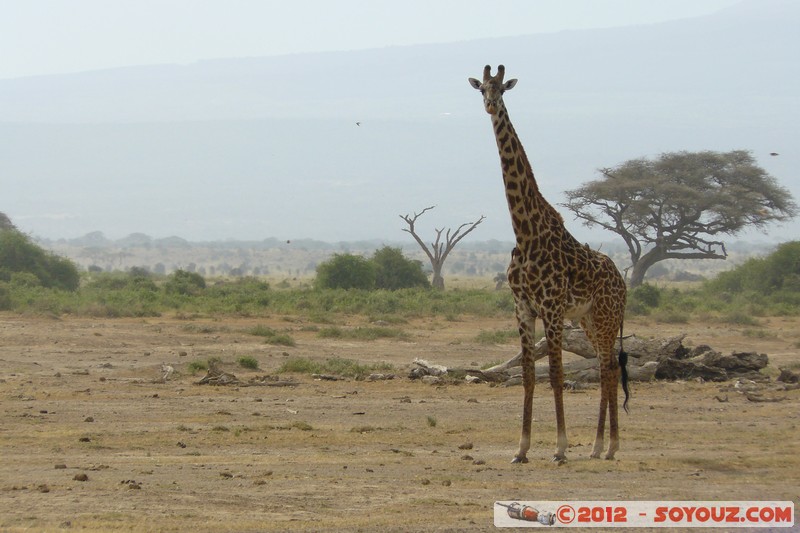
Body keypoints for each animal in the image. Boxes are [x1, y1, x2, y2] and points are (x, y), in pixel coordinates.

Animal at [468, 64, 632, 460]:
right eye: (480, 88)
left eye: (502, 89)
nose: (490, 105)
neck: (526, 234)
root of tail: (623, 282)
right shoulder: (523, 307)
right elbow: (528, 374)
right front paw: (521, 449)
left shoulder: (553, 308)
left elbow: (556, 374)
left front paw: (559, 447)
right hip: (588, 319)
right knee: (605, 366)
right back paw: (598, 447)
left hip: (606, 317)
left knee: (608, 368)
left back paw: (609, 446)